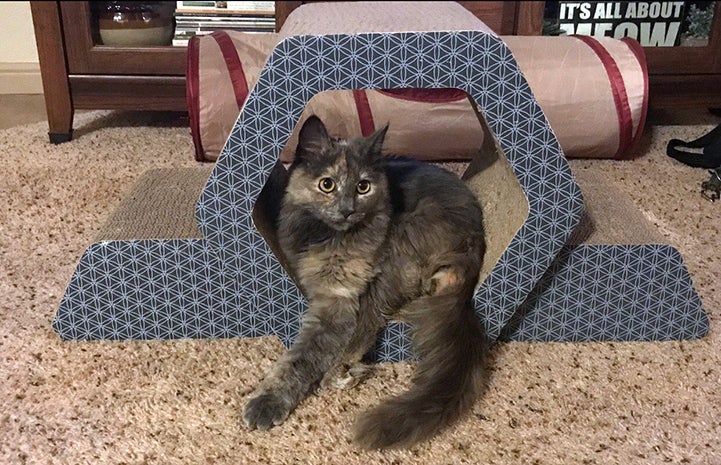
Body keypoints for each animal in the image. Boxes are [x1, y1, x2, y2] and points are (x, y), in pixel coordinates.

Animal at [243, 114, 490, 448]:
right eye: (327, 184)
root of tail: (474, 242)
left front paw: (267, 403)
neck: (327, 237)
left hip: (394, 257)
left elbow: (301, 359)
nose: (348, 210)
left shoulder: (338, 300)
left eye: (363, 187)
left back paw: (340, 374)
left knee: (365, 330)